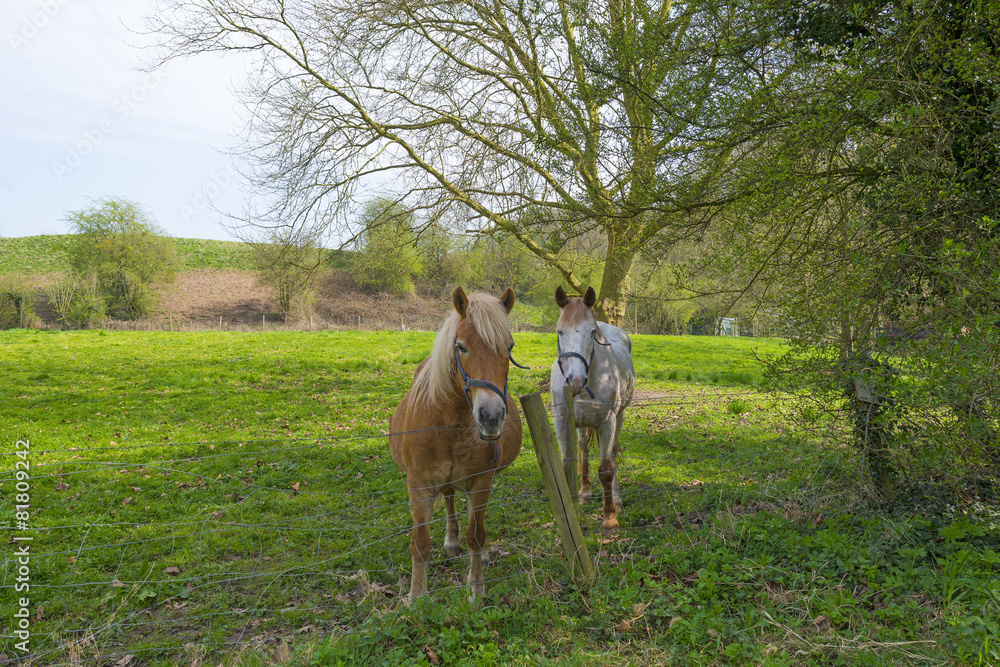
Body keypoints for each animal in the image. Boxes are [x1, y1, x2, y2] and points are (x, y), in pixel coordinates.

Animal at [389, 287, 522, 598]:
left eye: (509, 347)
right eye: (460, 346)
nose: (491, 416)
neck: (452, 424)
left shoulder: (482, 481)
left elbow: (476, 533)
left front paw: (476, 587)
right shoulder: (418, 485)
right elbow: (420, 543)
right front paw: (416, 595)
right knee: (449, 498)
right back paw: (451, 540)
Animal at [549, 286, 635, 532]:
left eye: (591, 332)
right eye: (560, 331)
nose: (576, 380)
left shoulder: (607, 422)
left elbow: (606, 470)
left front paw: (609, 517)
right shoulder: (561, 422)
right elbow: (567, 468)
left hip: (619, 417)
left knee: (613, 453)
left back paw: (616, 499)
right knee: (584, 448)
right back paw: (585, 493)